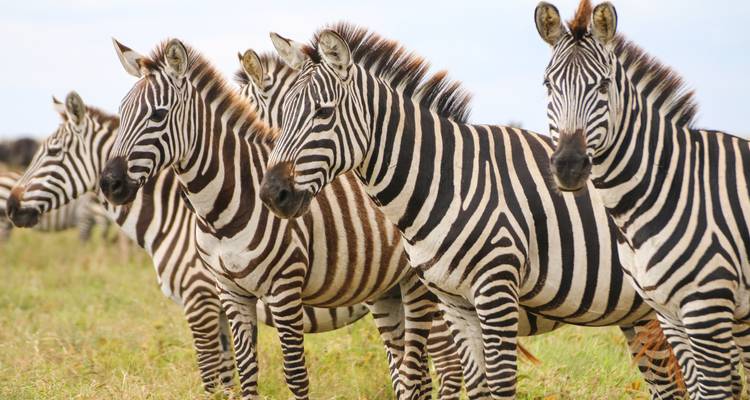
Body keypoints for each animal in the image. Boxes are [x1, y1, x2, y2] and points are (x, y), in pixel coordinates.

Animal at [5, 92, 377, 394]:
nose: (10, 206)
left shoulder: (200, 298)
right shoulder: (223, 304)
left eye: (53, 152)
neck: (175, 217)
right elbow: (228, 377)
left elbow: (211, 377)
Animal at [256, 23, 686, 399]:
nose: (272, 193)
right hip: (638, 312)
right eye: (282, 116)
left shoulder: (493, 290)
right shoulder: (450, 301)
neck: (446, 182)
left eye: (323, 113)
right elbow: (467, 385)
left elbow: (494, 384)